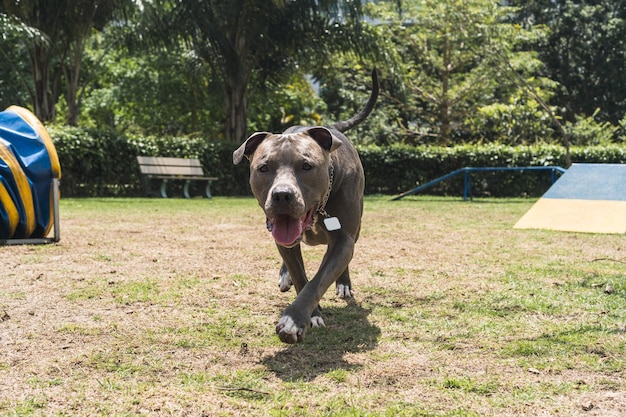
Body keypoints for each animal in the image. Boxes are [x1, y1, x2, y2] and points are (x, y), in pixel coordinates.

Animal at [233, 67, 378, 342]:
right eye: (263, 168)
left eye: (307, 166)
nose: (282, 195)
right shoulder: (284, 239)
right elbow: (301, 276)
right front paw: (311, 315)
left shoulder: (343, 238)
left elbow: (319, 279)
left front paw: (294, 320)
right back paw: (284, 275)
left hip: (357, 229)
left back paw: (344, 284)